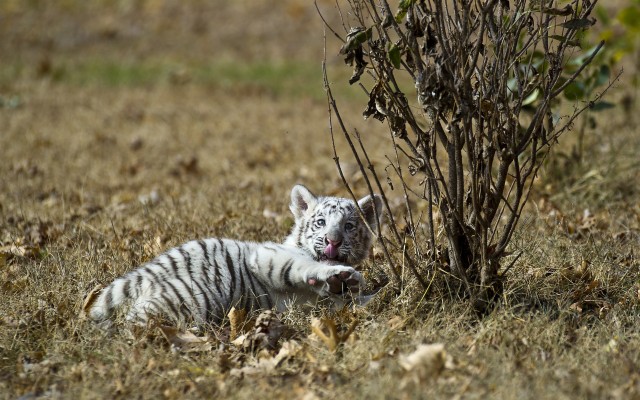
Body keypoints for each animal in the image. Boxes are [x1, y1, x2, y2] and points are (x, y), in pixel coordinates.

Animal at [87, 184, 382, 327]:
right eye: (321, 223)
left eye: (349, 226)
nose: (333, 241)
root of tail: (147, 272)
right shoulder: (267, 255)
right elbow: (300, 266)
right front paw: (341, 276)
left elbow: (347, 302)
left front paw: (361, 292)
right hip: (187, 297)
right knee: (135, 321)